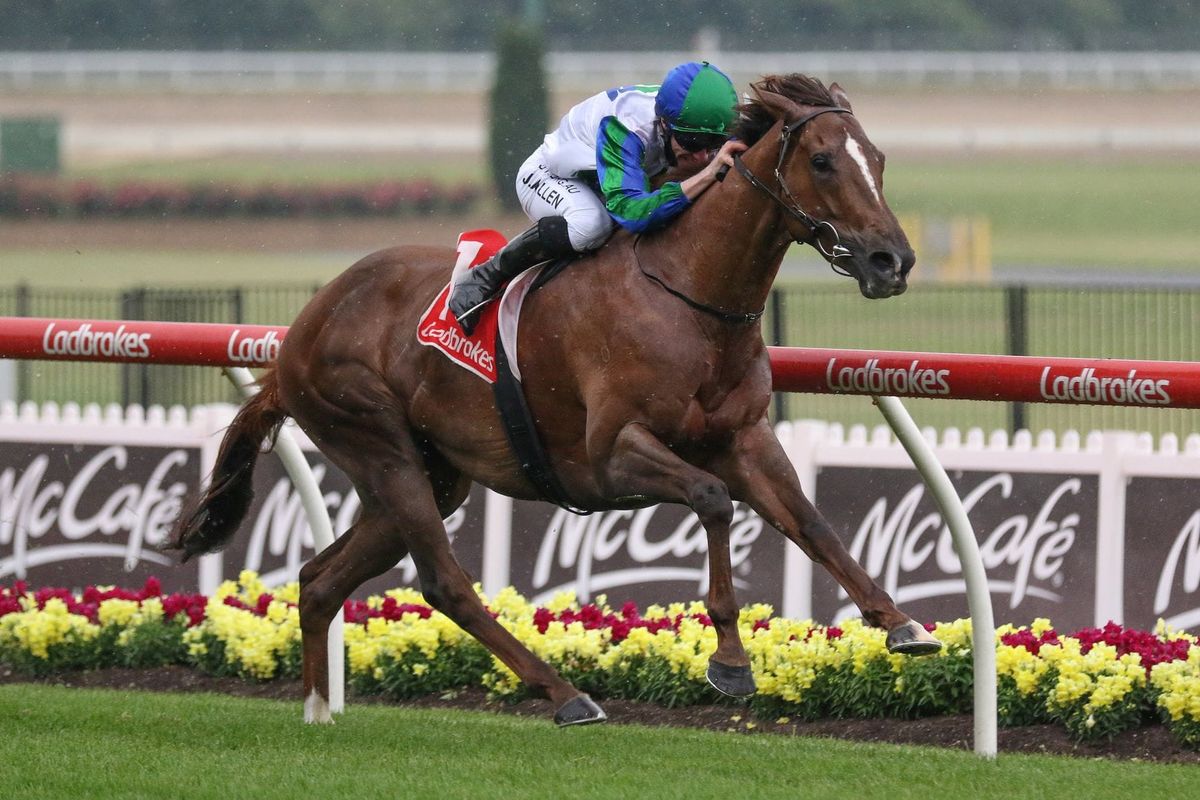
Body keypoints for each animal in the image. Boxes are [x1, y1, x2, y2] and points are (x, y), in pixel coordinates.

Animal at [169, 73, 940, 726]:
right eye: (823, 161)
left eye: (877, 158)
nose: (892, 261)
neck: (689, 296)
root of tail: (301, 330)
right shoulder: (610, 456)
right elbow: (714, 500)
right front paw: (729, 659)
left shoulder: (744, 437)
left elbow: (812, 523)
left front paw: (901, 622)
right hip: (375, 441)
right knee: (444, 582)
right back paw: (567, 694)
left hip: (429, 474)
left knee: (320, 578)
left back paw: (318, 710)